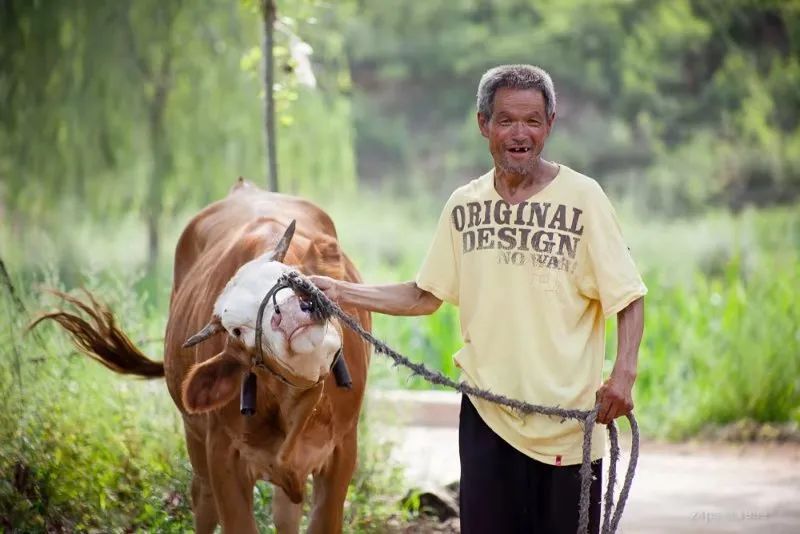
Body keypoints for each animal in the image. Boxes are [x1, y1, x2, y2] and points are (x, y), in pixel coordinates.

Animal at [36, 181, 372, 534]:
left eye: (292, 276)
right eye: (236, 330)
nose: (291, 314)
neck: (295, 406)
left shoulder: (342, 449)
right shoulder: (223, 456)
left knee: (284, 511)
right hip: (194, 439)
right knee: (203, 497)